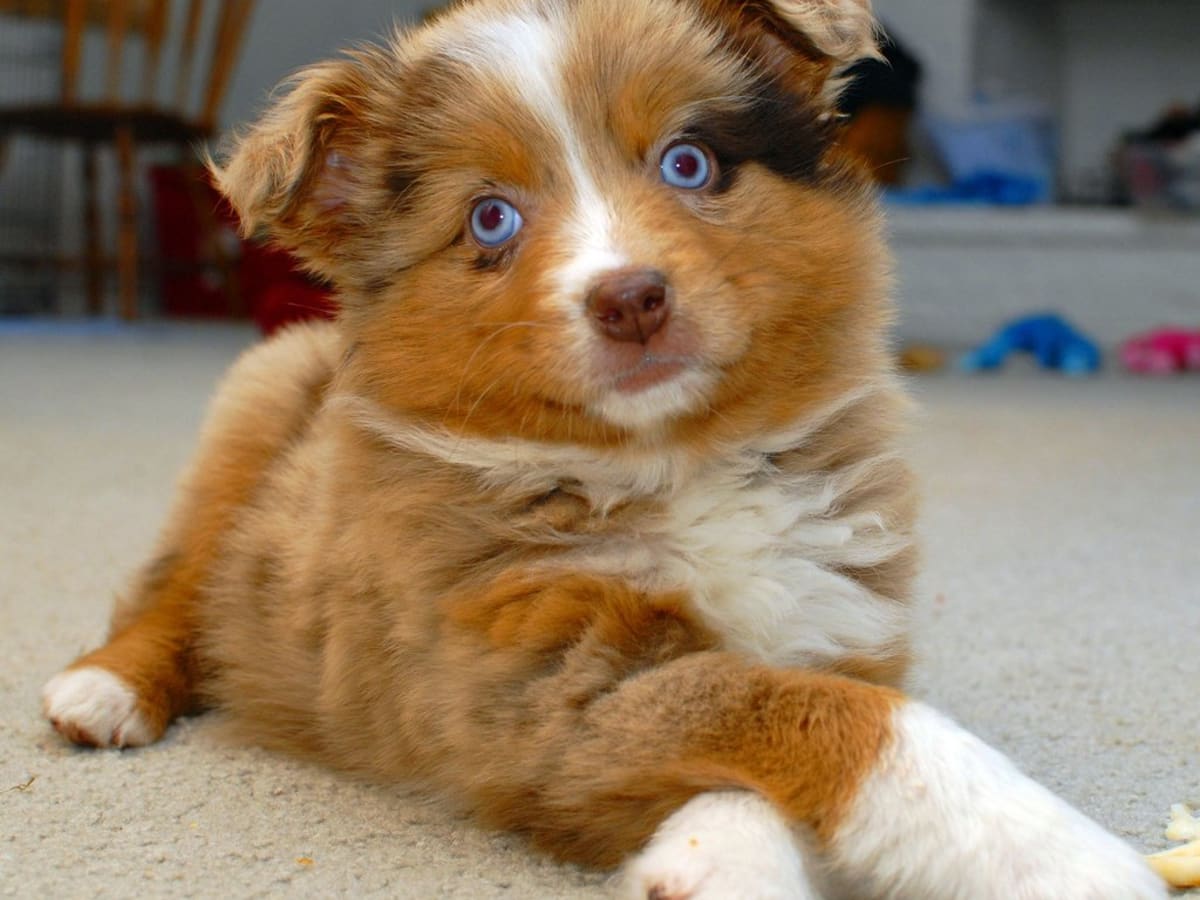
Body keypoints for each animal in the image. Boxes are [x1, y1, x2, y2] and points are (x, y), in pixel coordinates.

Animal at [44, 3, 1161, 897]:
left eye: (688, 161)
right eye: (491, 218)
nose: (632, 299)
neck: (678, 461)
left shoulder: (837, 612)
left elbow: (780, 708)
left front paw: (713, 862)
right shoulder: (527, 689)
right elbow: (801, 710)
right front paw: (1066, 856)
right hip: (254, 407)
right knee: (176, 585)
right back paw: (104, 690)